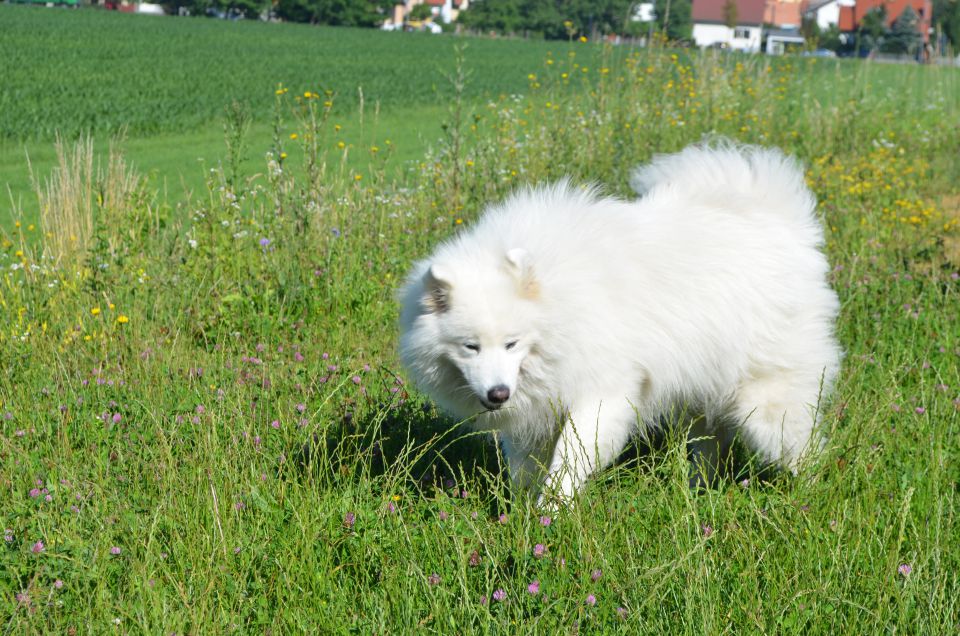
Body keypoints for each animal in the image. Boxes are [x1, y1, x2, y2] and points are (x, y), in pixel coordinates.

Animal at [398, 140, 840, 502]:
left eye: (512, 343)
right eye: (470, 347)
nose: (498, 394)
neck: (560, 302)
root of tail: (780, 221)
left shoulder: (602, 391)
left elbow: (569, 459)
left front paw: (549, 515)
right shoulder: (534, 411)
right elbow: (524, 467)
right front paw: (520, 514)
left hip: (766, 401)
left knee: (802, 448)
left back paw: (809, 499)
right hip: (705, 385)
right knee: (712, 440)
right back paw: (698, 489)